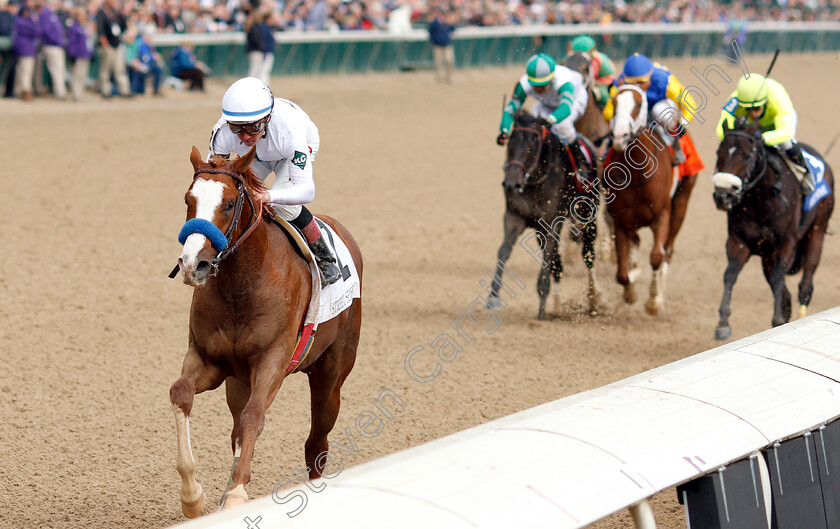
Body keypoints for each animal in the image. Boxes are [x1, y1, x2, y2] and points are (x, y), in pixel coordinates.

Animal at [171, 145, 364, 516]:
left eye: (229, 203)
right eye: (188, 199)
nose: (192, 264)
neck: (242, 286)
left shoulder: (273, 359)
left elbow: (254, 416)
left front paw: (236, 494)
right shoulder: (209, 360)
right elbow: (181, 392)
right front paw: (192, 496)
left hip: (331, 375)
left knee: (316, 442)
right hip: (238, 381)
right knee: (237, 427)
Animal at [488, 112, 600, 318]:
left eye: (534, 141)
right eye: (510, 140)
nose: (512, 182)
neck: (535, 182)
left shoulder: (552, 222)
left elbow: (548, 257)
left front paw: (541, 308)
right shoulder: (514, 217)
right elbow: (504, 250)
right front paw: (492, 297)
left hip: (589, 215)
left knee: (588, 254)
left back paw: (595, 299)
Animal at [600, 83, 680, 314]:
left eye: (638, 103)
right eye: (614, 102)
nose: (620, 136)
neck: (637, 173)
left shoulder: (662, 215)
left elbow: (656, 257)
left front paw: (653, 301)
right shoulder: (621, 221)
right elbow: (621, 274)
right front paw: (631, 289)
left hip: (681, 204)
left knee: (667, 250)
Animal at [708, 120, 832, 338]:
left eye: (746, 155)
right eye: (718, 152)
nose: (723, 196)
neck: (760, 200)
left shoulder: (786, 244)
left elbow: (777, 278)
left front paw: (778, 318)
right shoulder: (739, 242)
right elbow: (730, 274)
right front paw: (723, 324)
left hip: (816, 232)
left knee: (805, 286)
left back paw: (800, 316)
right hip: (767, 256)